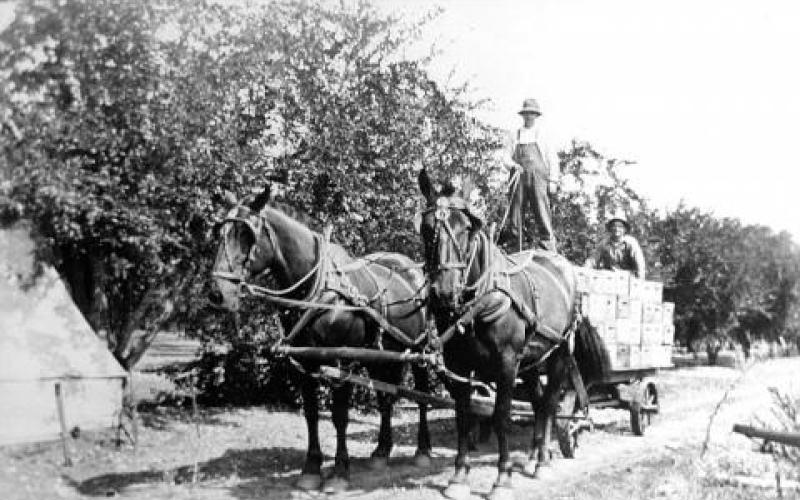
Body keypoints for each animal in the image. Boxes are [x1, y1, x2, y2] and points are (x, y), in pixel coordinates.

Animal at [206, 188, 432, 492]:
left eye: (246, 234)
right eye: (219, 232)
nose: (217, 294)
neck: (318, 289)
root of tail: (412, 269)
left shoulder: (343, 361)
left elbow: (339, 416)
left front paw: (339, 472)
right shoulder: (306, 361)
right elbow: (311, 414)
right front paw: (311, 468)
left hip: (419, 349)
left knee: (422, 395)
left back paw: (423, 450)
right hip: (382, 354)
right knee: (386, 397)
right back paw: (381, 452)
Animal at [418, 171, 580, 500]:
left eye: (466, 228)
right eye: (426, 228)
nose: (443, 293)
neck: (481, 299)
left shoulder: (506, 363)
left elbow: (501, 415)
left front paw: (502, 477)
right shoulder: (457, 363)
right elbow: (463, 415)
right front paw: (458, 477)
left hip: (558, 354)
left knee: (550, 403)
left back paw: (542, 462)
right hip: (530, 362)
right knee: (538, 402)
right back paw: (532, 457)